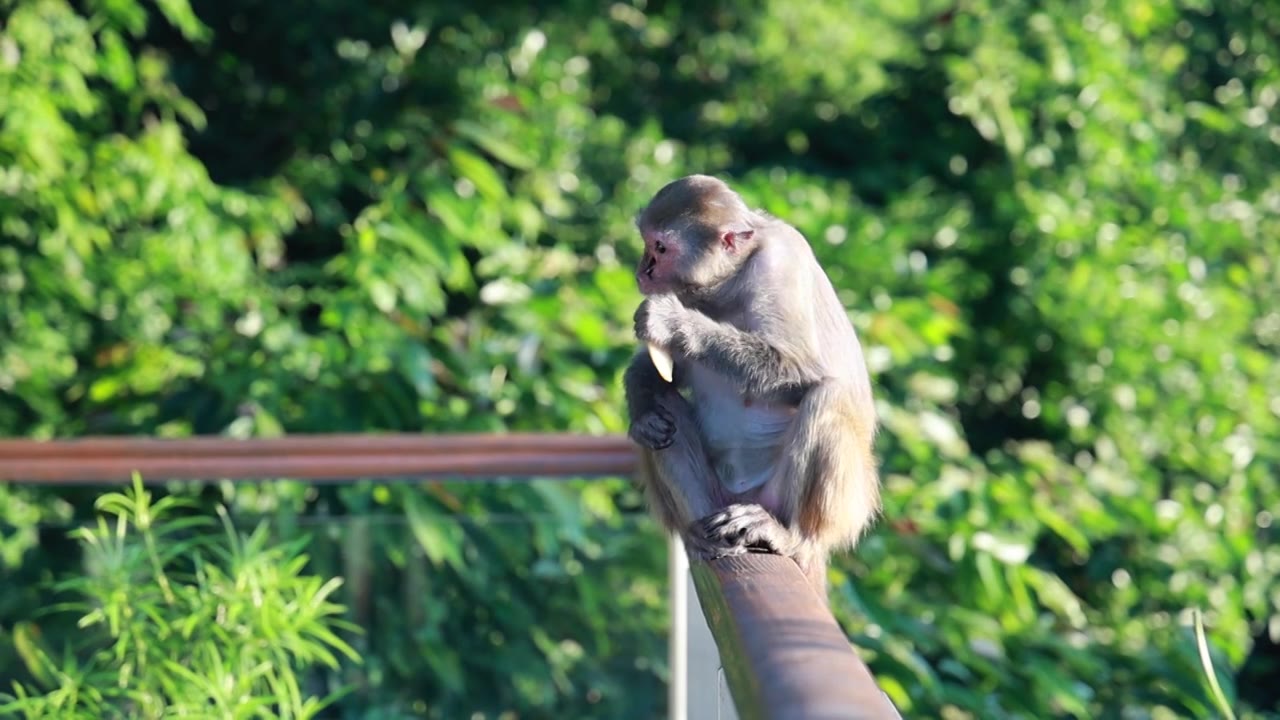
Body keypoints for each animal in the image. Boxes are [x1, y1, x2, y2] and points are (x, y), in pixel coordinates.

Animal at [624, 172, 885, 594]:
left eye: (660, 248)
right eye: (647, 243)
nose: (641, 271)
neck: (729, 281)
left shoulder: (779, 263)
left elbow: (798, 368)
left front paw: (674, 324)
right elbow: (659, 372)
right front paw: (642, 410)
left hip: (812, 503)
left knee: (828, 395)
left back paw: (791, 537)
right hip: (718, 499)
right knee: (669, 411)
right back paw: (699, 537)